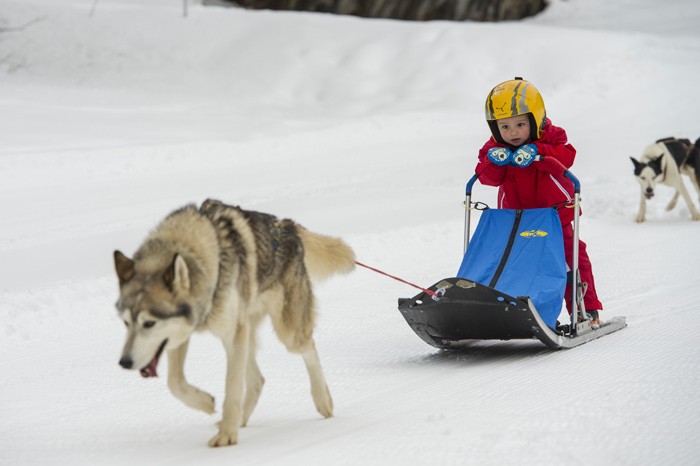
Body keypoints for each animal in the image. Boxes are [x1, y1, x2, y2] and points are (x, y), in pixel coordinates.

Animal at [116, 200, 356, 448]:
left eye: (149, 323)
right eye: (125, 322)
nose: (124, 362)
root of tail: (288, 225)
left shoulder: (231, 333)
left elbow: (232, 389)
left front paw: (226, 436)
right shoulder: (180, 333)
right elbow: (175, 383)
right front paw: (207, 404)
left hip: (285, 333)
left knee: (308, 348)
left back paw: (322, 400)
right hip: (243, 332)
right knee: (257, 380)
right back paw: (239, 419)